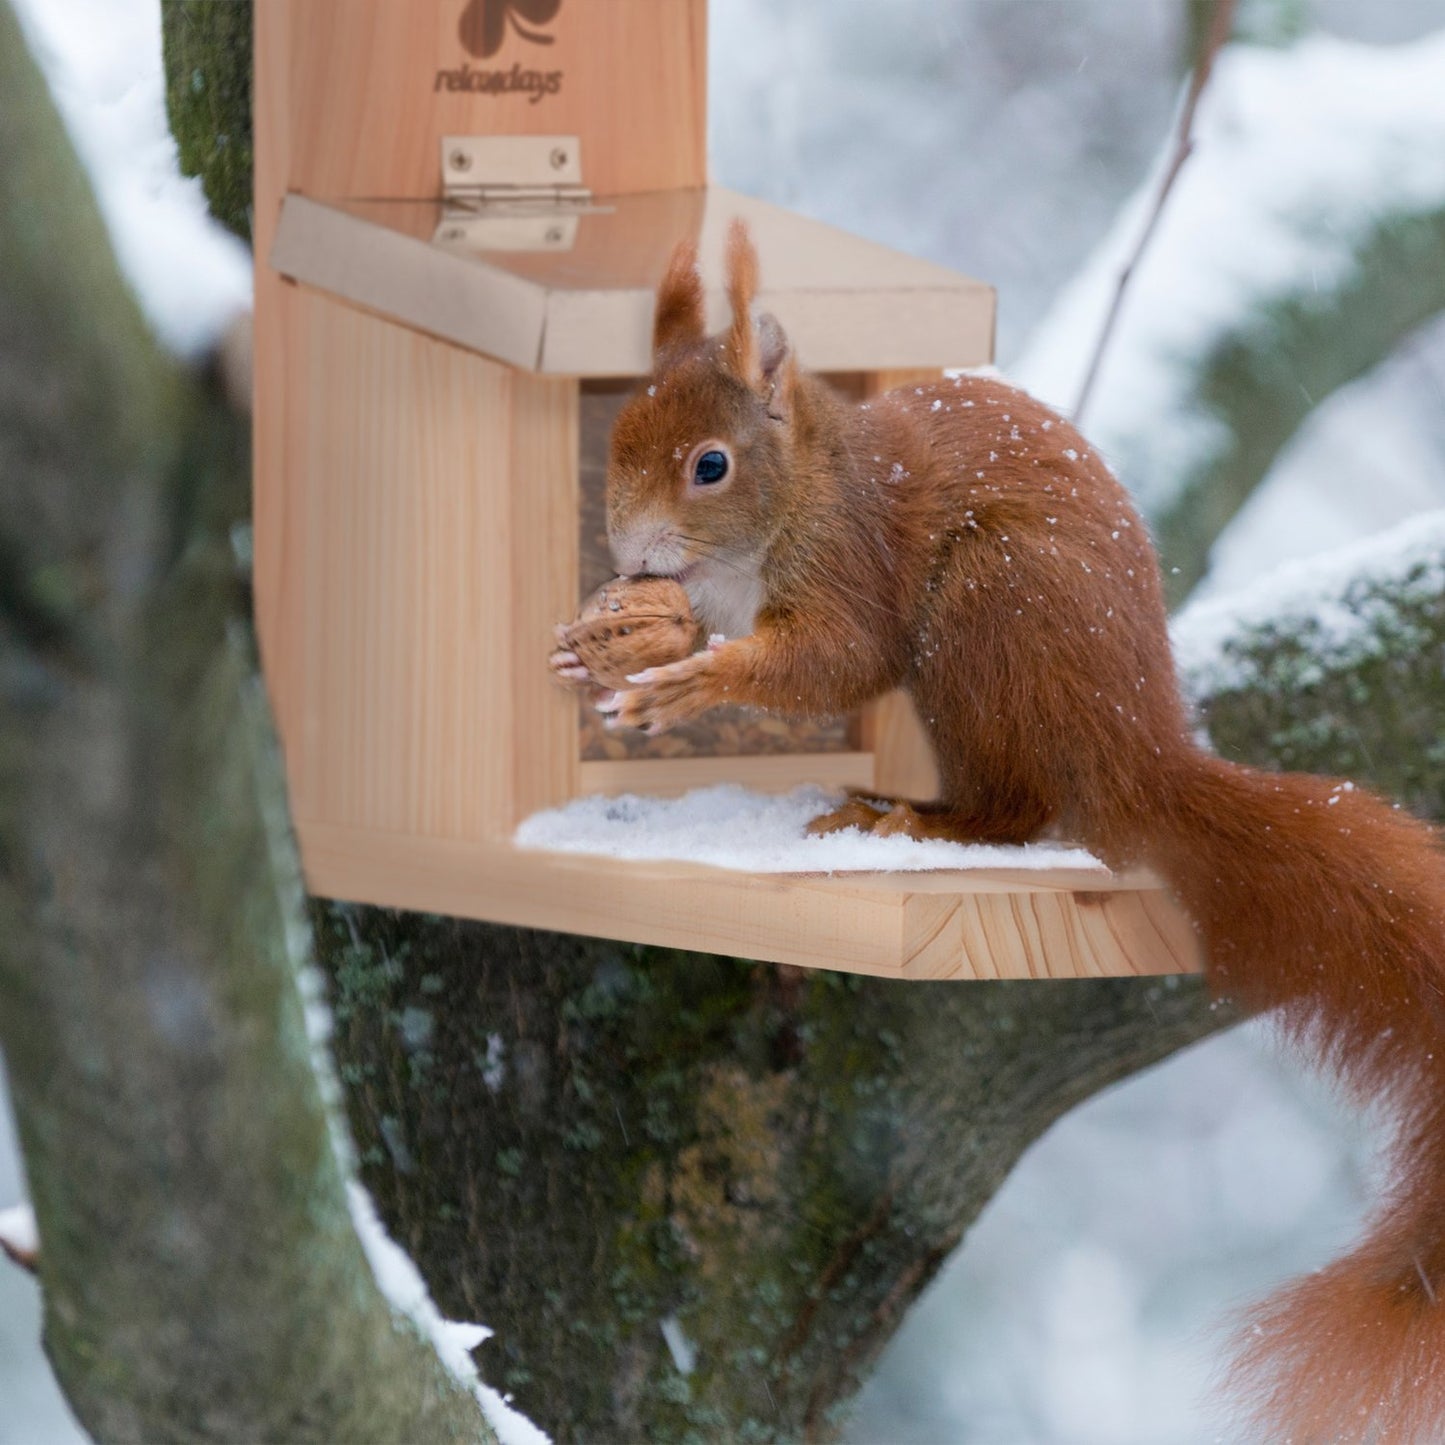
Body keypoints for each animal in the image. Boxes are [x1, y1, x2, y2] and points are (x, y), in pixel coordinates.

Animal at [548, 220, 1445, 1442]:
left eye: (710, 466)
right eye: (621, 431)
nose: (631, 555)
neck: (797, 494)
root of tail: (1135, 745)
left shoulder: (851, 563)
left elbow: (833, 660)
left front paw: (691, 680)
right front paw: (607, 646)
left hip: (984, 619)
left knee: (1017, 810)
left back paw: (907, 820)